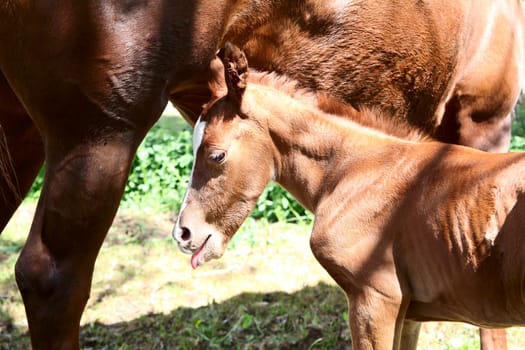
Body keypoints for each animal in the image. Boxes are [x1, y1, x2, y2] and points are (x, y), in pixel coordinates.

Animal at [0, 0, 520, 350]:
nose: (183, 233)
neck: (361, 168)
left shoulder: (398, 290)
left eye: (215, 155)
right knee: (52, 278)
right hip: (102, 130)